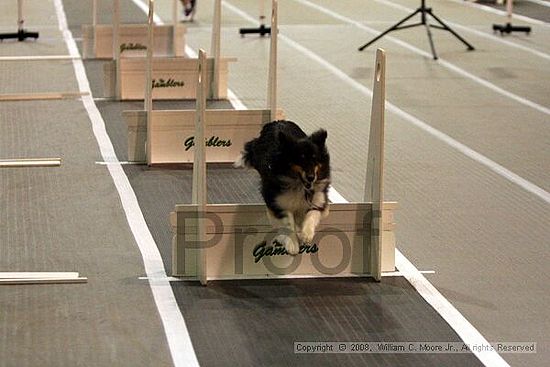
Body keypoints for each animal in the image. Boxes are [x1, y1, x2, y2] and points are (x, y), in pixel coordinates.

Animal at [238, 121, 332, 256]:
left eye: (315, 159)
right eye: (300, 159)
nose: (311, 178)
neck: (299, 185)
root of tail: (277, 122)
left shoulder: (319, 201)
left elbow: (311, 215)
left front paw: (306, 235)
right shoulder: (278, 203)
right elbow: (288, 222)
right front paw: (292, 244)